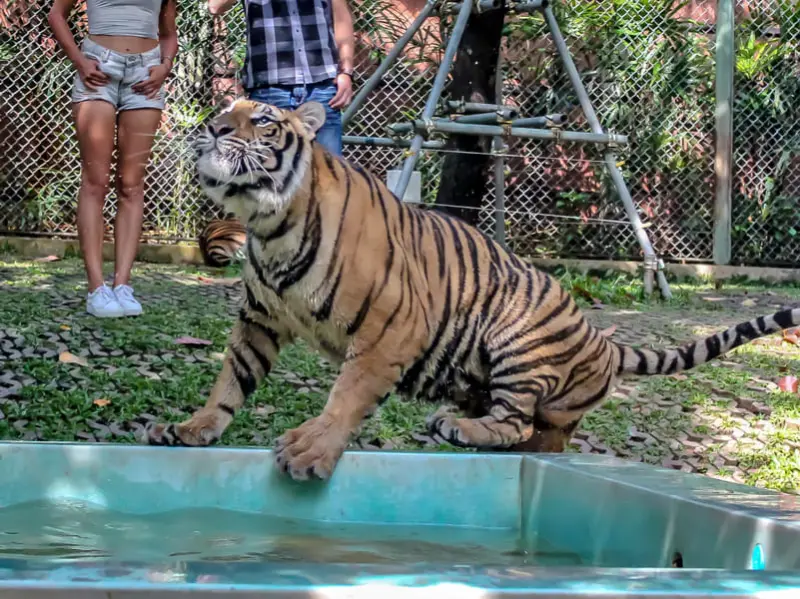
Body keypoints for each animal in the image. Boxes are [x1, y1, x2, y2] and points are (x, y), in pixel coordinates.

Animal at [143, 98, 800, 482]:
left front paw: (309, 451)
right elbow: (231, 381)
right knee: (541, 436)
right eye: (224, 110)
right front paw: (192, 429)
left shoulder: (390, 330)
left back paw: (457, 429)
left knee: (515, 423)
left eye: (260, 120)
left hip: (517, 337)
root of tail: (600, 339)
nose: (210, 128)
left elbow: (345, 397)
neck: (268, 223)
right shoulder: (259, 317)